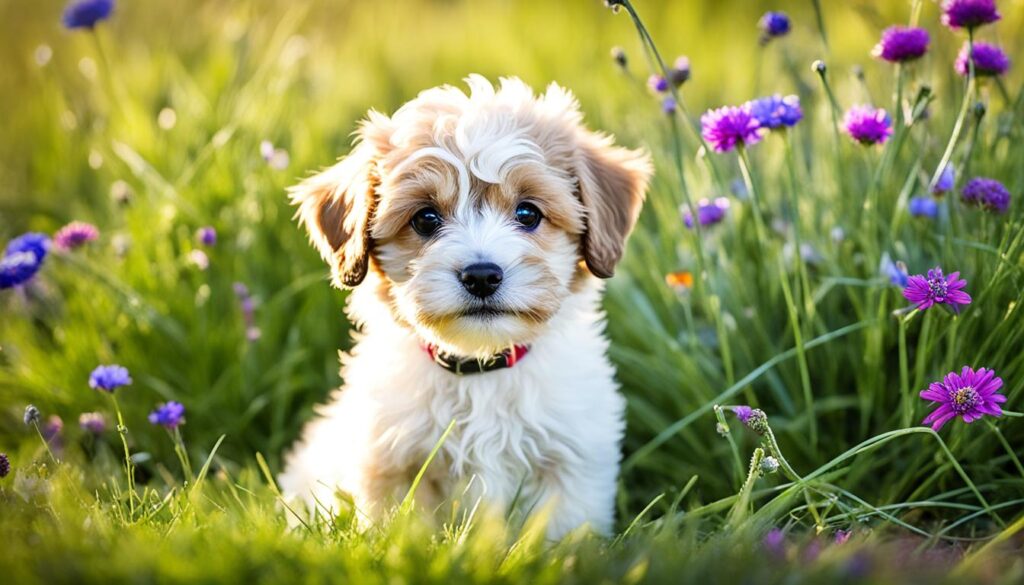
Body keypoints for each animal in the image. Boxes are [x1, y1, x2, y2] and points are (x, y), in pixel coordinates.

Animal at [280, 74, 647, 540]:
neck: (481, 367)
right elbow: (403, 533)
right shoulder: (394, 465)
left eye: (528, 214)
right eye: (425, 219)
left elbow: (559, 535)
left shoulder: (571, 464)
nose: (482, 276)